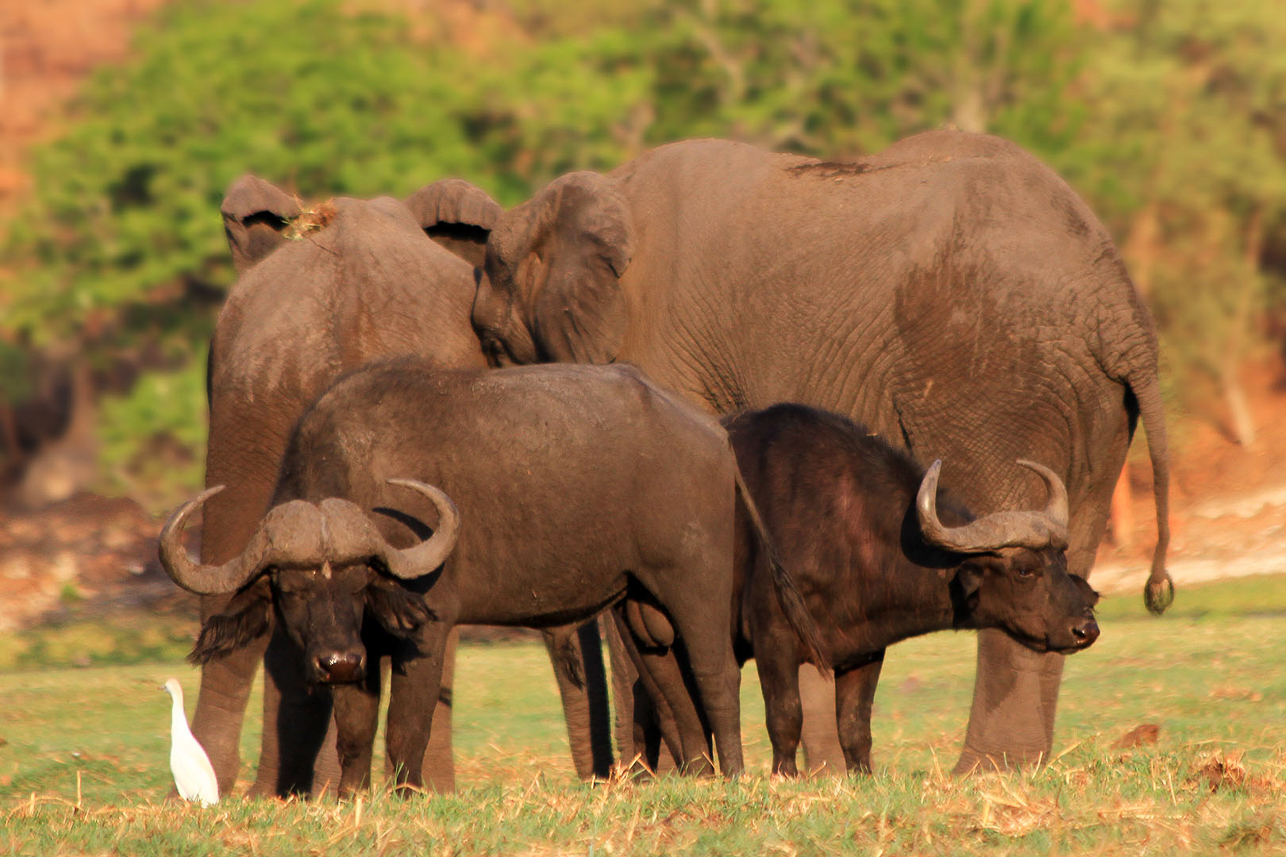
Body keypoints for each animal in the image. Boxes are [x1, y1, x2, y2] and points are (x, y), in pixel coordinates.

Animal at [473, 129, 1177, 772]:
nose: (616, 777)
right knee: (1070, 539)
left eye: (491, 339)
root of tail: (1122, 310)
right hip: (1084, 399)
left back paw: (983, 774)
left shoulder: (655, 346)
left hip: (997, 379)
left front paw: (676, 779)